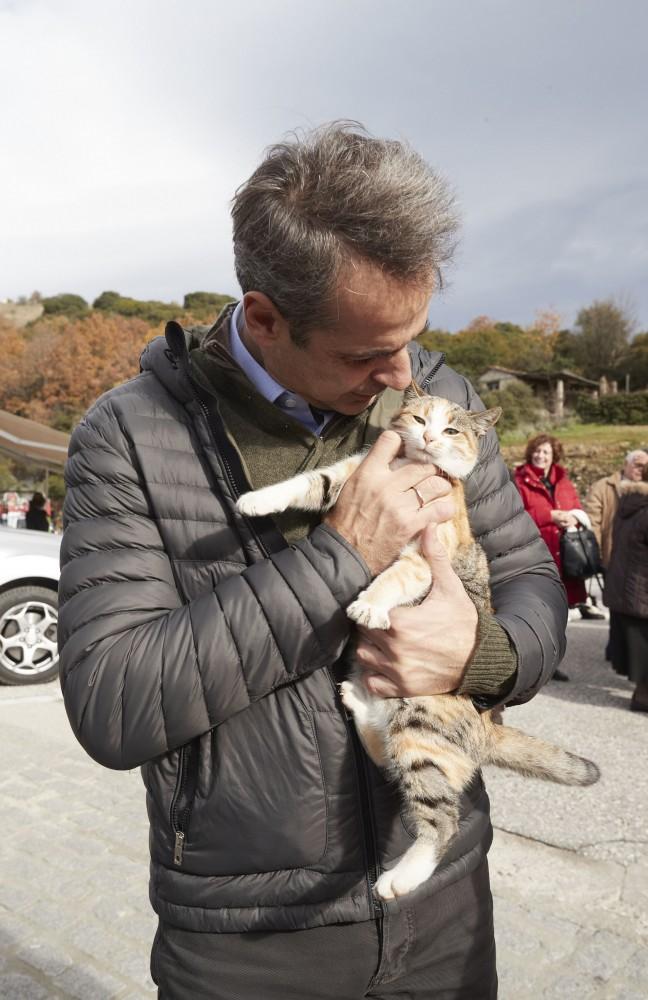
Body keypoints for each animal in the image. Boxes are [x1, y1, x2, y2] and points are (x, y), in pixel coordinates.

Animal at [235, 386, 600, 904]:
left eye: (451, 429)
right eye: (419, 418)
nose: (428, 437)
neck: (411, 468)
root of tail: (487, 728)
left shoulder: (426, 554)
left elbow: (394, 577)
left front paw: (369, 606)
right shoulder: (349, 476)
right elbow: (308, 482)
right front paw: (253, 501)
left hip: (421, 728)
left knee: (441, 820)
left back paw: (399, 879)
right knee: (385, 757)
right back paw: (356, 700)